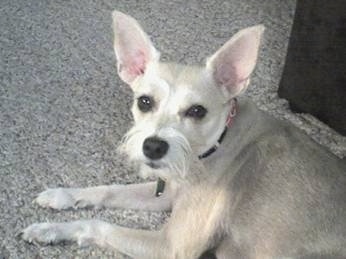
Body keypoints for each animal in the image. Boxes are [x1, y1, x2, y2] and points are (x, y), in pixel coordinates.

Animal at [21, 10, 346, 259]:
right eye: (144, 102)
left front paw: (52, 228)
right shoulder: (167, 192)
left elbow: (97, 225)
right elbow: (108, 190)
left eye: (197, 111)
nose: (153, 147)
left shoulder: (171, 246)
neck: (218, 143)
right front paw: (58, 205)